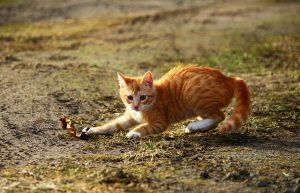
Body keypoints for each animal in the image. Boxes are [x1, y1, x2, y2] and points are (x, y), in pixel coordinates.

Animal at [81, 65, 250, 139]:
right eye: (129, 97)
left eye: (143, 97)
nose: (135, 106)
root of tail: (228, 78)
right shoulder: (129, 117)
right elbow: (111, 125)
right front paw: (94, 129)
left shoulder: (159, 123)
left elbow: (145, 126)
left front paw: (134, 132)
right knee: (214, 119)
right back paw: (195, 127)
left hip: (193, 95)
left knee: (219, 116)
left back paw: (194, 125)